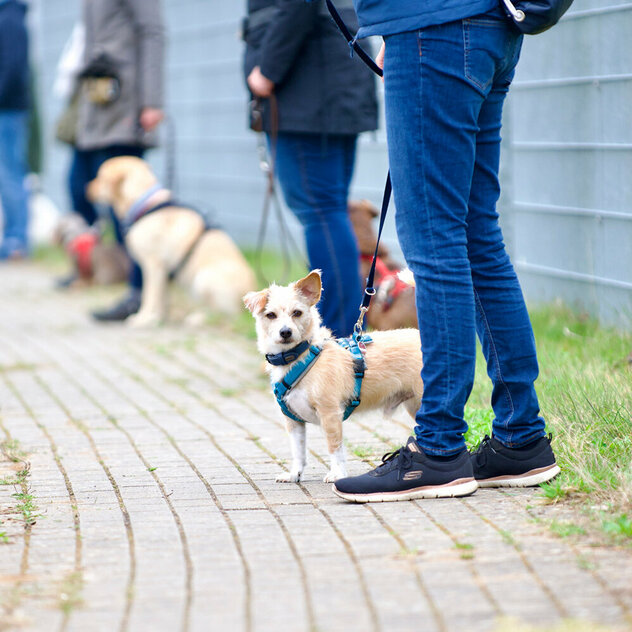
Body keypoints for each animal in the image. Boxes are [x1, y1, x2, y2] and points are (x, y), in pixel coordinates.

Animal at [87, 156, 256, 328]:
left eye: (100, 177)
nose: (87, 188)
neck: (144, 203)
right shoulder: (163, 271)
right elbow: (161, 300)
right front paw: (157, 319)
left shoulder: (153, 265)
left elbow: (149, 297)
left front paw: (144, 319)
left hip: (203, 279)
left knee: (227, 316)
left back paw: (199, 318)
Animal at [244, 270, 422, 482]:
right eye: (270, 315)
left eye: (297, 313)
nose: (285, 332)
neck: (300, 358)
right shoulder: (293, 422)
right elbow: (298, 450)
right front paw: (294, 474)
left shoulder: (330, 414)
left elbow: (334, 448)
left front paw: (337, 474)